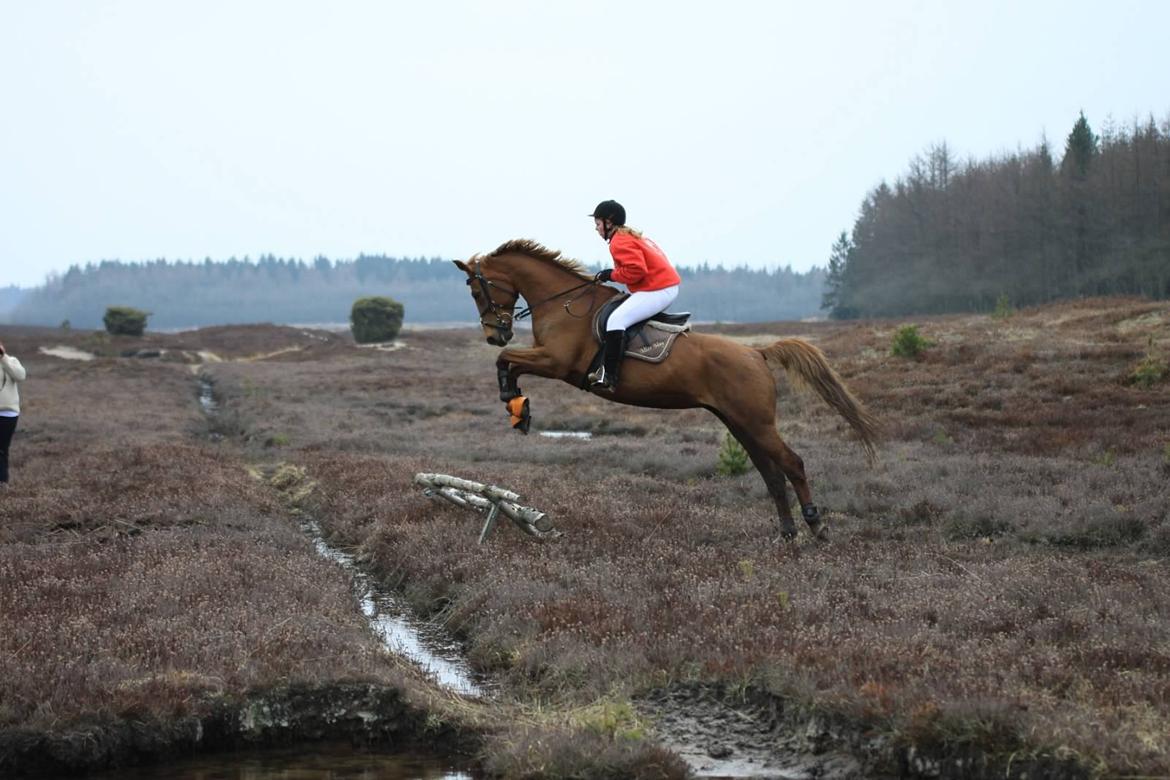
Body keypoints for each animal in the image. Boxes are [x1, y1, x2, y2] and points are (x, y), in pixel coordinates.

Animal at [456, 240, 879, 540]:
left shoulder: (557, 363)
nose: (495, 334)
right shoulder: (548, 361)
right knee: (770, 473)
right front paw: (518, 407)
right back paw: (787, 533)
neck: (563, 304)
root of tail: (756, 353)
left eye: (477, 292)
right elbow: (508, 362)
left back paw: (816, 525)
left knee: (792, 464)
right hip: (739, 423)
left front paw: (515, 403)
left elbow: (506, 360)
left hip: (757, 423)